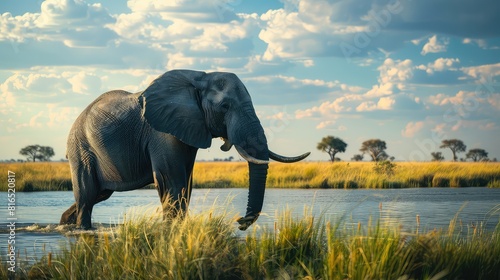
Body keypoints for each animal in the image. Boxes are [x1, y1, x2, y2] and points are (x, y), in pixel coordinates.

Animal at [58, 69, 308, 230]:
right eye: (225, 106)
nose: (239, 222)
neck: (199, 79)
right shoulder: (162, 131)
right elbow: (171, 180)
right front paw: (172, 229)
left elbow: (186, 182)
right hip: (81, 149)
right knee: (87, 195)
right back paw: (81, 229)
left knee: (97, 194)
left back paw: (64, 223)